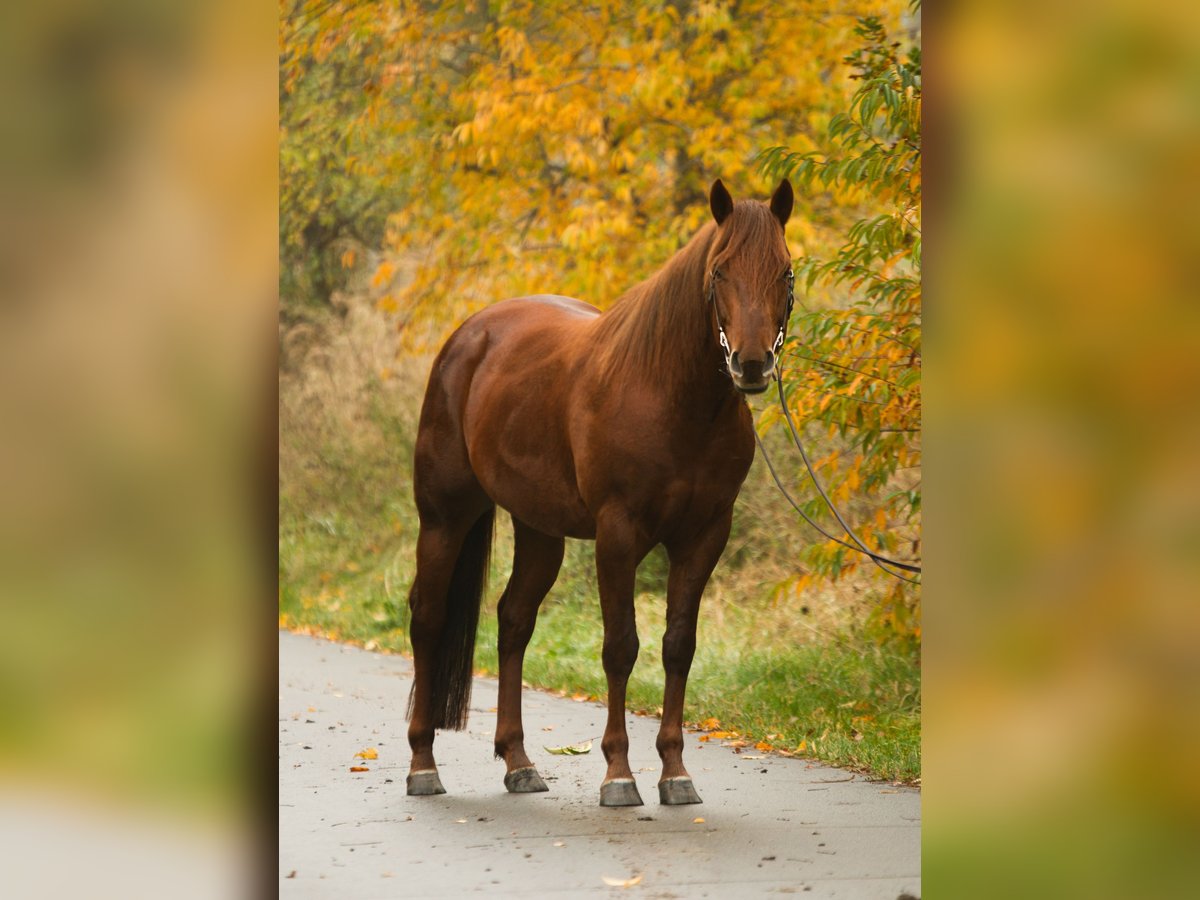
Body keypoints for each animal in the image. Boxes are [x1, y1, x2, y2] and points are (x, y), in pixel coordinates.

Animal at [408, 177, 792, 811]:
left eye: (785, 272)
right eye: (719, 272)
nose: (753, 364)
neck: (671, 396)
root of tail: (470, 335)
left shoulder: (704, 537)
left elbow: (677, 646)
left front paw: (675, 772)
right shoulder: (619, 534)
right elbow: (621, 647)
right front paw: (619, 775)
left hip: (540, 530)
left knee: (513, 620)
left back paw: (519, 762)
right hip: (444, 518)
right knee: (428, 618)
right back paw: (422, 764)